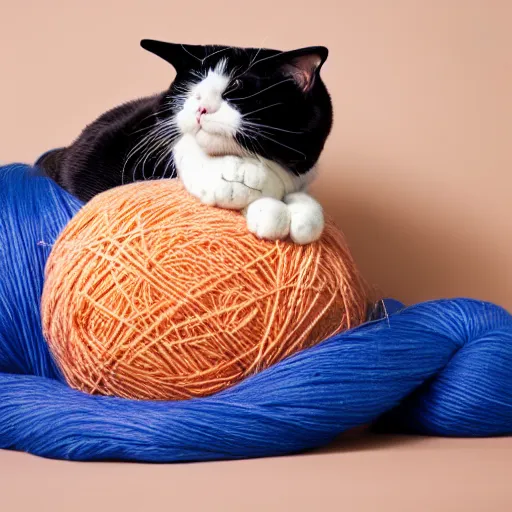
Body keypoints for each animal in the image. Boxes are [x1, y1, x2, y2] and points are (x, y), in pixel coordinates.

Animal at [35, 40, 332, 244]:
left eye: (237, 86)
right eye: (192, 88)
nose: (200, 108)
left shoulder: (301, 169)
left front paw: (302, 212)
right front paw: (264, 207)